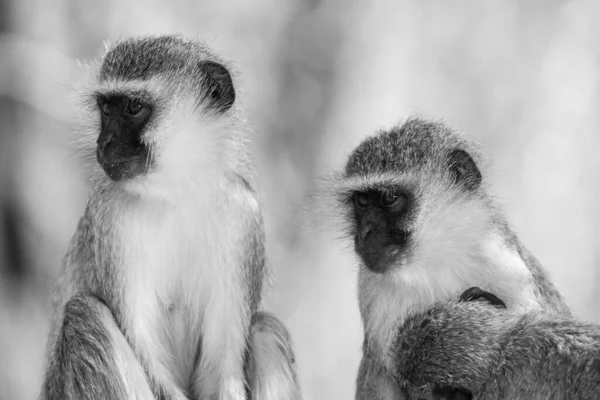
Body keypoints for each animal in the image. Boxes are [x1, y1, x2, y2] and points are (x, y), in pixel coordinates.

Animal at [39, 35, 300, 400]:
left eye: (134, 107)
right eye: (106, 108)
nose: (105, 142)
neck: (176, 191)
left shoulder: (243, 215)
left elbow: (223, 368)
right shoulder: (110, 216)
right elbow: (144, 348)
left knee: (265, 328)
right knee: (84, 314)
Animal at [332, 119, 572, 400]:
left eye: (389, 198)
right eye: (361, 201)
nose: (364, 233)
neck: (434, 257)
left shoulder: (506, 267)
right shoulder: (373, 296)